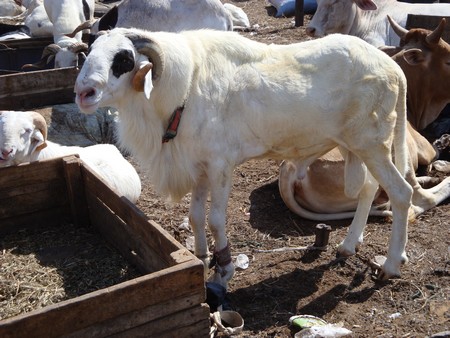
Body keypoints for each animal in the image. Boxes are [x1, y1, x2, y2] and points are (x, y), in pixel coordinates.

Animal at [73, 27, 412, 288]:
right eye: (89, 51)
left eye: (123, 59)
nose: (84, 93)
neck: (186, 89)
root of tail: (394, 68)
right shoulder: (200, 167)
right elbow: (195, 216)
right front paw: (201, 258)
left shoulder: (220, 165)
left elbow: (215, 220)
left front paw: (224, 269)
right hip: (354, 146)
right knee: (368, 189)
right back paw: (347, 246)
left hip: (372, 144)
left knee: (401, 192)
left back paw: (391, 265)